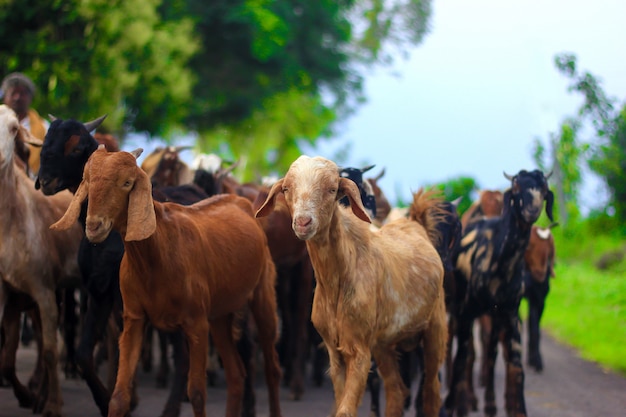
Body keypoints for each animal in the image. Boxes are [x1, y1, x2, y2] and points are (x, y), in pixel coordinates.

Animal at [0, 104, 84, 416]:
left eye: (14, 128)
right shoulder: (8, 292)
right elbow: (7, 357)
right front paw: (30, 396)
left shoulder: (43, 287)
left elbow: (48, 350)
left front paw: (52, 404)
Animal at [51, 145, 280, 416]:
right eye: (87, 179)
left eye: (127, 182)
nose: (95, 226)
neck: (159, 250)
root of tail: (241, 203)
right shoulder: (134, 317)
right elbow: (119, 395)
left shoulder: (196, 323)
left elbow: (197, 392)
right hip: (220, 314)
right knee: (236, 373)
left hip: (262, 295)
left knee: (271, 369)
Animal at [256, 154, 446, 416]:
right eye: (286, 189)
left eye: (332, 189)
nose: (303, 222)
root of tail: (417, 225)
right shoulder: (334, 352)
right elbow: (340, 401)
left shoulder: (359, 350)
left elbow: (345, 410)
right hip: (384, 343)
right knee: (396, 390)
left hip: (435, 330)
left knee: (431, 392)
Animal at [444, 169, 552, 416]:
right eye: (516, 187)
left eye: (543, 188)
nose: (531, 210)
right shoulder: (467, 311)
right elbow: (464, 356)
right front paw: (456, 404)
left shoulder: (508, 313)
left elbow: (514, 362)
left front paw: (514, 407)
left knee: (490, 351)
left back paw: (489, 402)